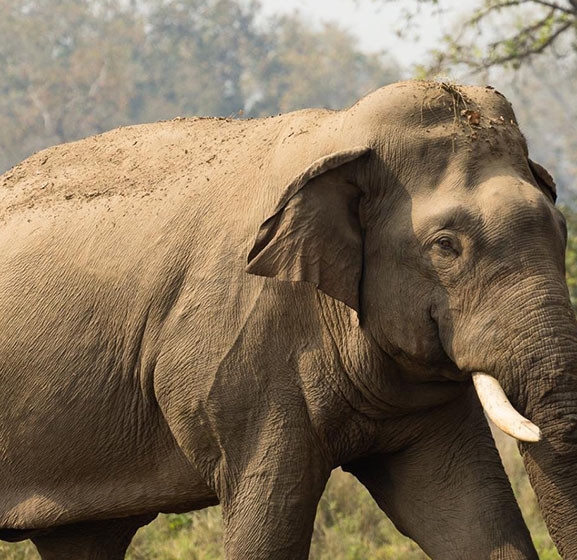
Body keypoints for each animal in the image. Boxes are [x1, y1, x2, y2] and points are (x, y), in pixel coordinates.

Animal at [0, 80, 572, 560]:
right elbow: (272, 516)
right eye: (446, 246)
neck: (342, 131)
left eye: (563, 229)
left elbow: (468, 512)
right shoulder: (241, 355)